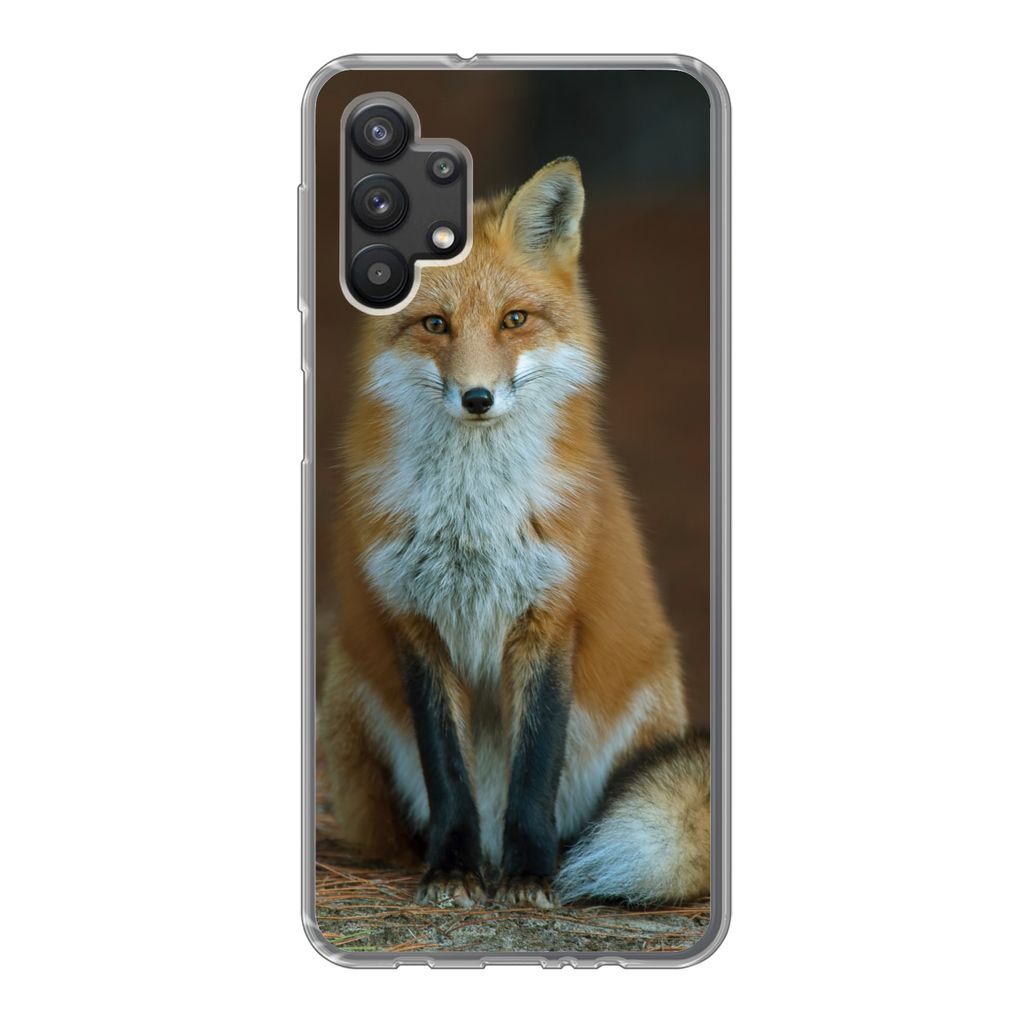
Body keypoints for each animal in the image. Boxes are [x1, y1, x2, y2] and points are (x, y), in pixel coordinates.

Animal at [319, 157, 710, 909]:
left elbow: (536, 766)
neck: (473, 519)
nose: (478, 398)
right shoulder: (415, 621)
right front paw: (452, 868)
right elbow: (448, 775)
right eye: (435, 324)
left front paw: (531, 875)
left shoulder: (549, 615)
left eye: (514, 320)